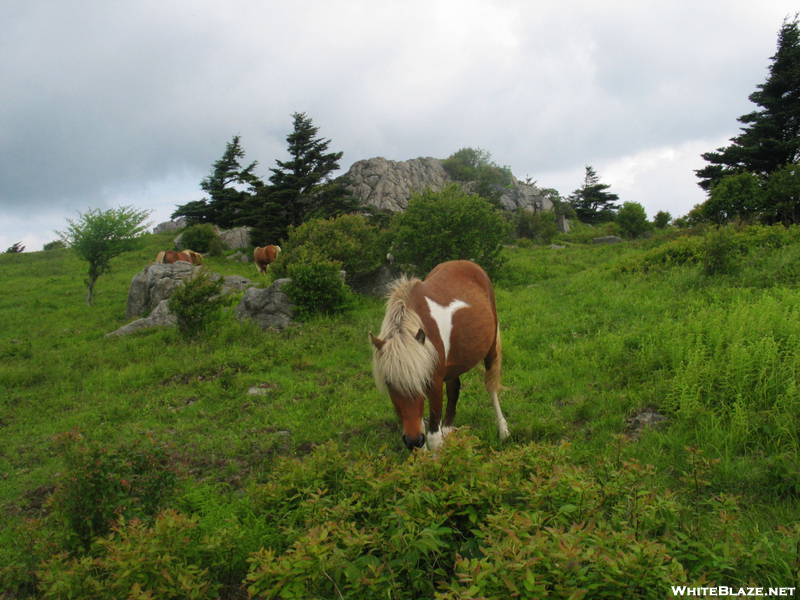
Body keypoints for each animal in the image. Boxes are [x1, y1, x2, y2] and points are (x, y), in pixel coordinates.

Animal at [370, 258, 510, 450]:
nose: (413, 440)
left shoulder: (434, 383)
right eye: (389, 383)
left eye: (423, 381)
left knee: (490, 385)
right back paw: (448, 431)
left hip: (490, 348)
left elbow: (433, 437)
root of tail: (468, 263)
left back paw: (503, 430)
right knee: (454, 389)